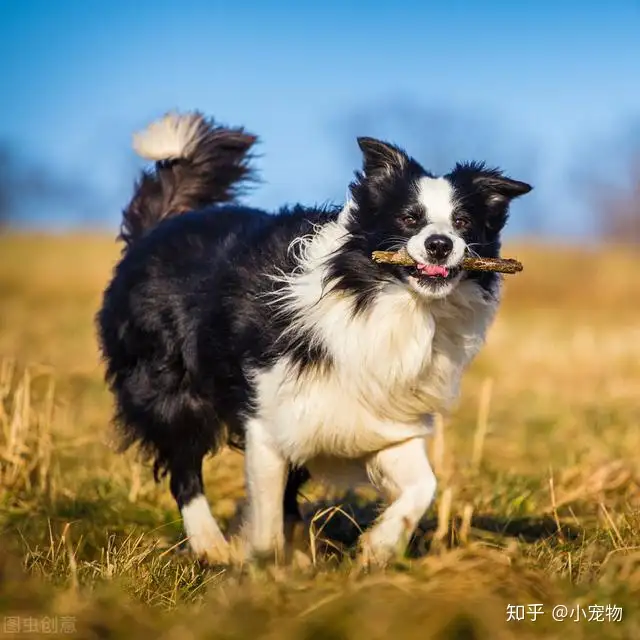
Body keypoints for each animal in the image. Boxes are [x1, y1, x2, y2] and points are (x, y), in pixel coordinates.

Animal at [99, 110, 528, 564]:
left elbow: (422, 487)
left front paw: (378, 547)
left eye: (463, 222)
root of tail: (160, 227)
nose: (440, 244)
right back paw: (211, 546)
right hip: (171, 390)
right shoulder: (268, 418)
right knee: (184, 468)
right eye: (409, 218)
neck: (392, 305)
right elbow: (266, 520)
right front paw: (264, 564)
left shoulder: (380, 417)